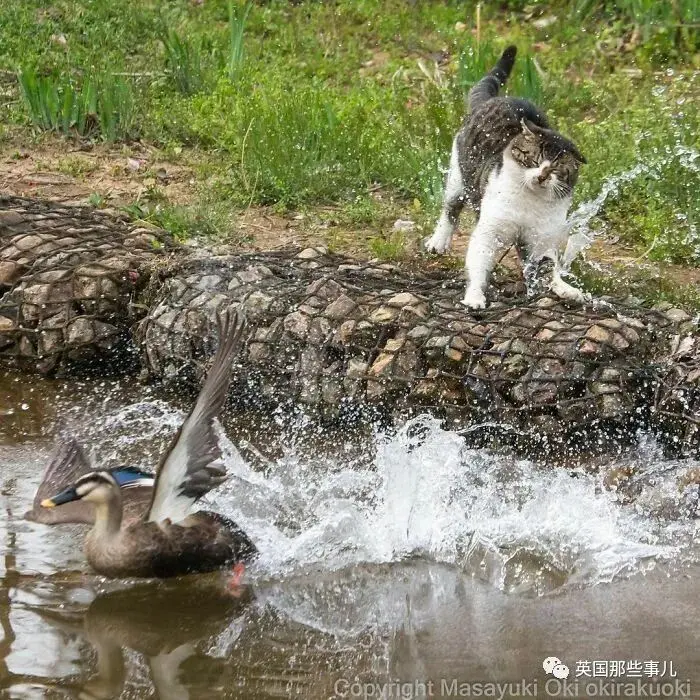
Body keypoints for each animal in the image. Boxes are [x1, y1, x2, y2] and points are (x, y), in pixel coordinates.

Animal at [424, 46, 588, 308]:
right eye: (534, 160)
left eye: (555, 170)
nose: (542, 176)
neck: (529, 202)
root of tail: (493, 99)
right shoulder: (490, 230)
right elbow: (479, 264)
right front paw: (475, 296)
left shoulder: (541, 237)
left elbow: (548, 266)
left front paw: (562, 287)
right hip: (458, 179)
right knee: (450, 210)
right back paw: (438, 241)